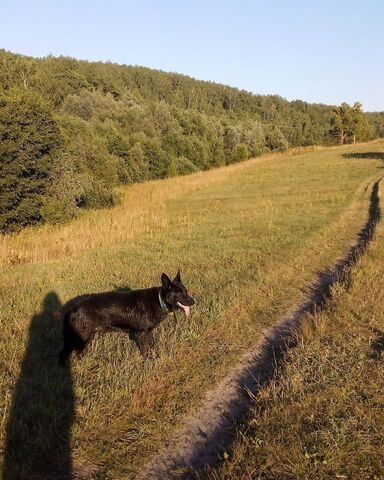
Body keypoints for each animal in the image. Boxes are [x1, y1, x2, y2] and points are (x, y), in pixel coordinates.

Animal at [59, 270, 195, 364]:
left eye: (186, 291)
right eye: (179, 294)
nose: (193, 302)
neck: (159, 300)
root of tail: (71, 308)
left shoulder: (148, 332)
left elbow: (152, 347)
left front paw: (155, 357)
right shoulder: (143, 334)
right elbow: (146, 350)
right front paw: (149, 362)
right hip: (81, 338)